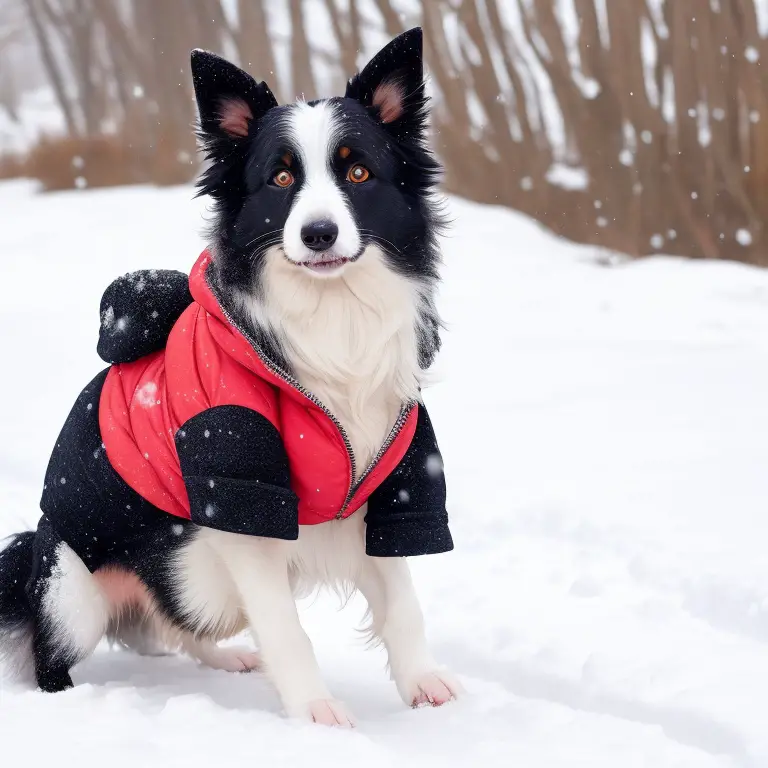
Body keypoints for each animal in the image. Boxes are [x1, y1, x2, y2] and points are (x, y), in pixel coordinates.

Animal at [0, 28, 456, 728]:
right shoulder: (237, 493)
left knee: (171, 625)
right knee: (57, 654)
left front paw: (424, 684)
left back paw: (228, 658)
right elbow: (286, 627)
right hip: (72, 584)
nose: (318, 233)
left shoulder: (397, 475)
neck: (331, 325)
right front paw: (316, 711)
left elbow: (402, 600)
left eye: (358, 172)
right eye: (281, 178)